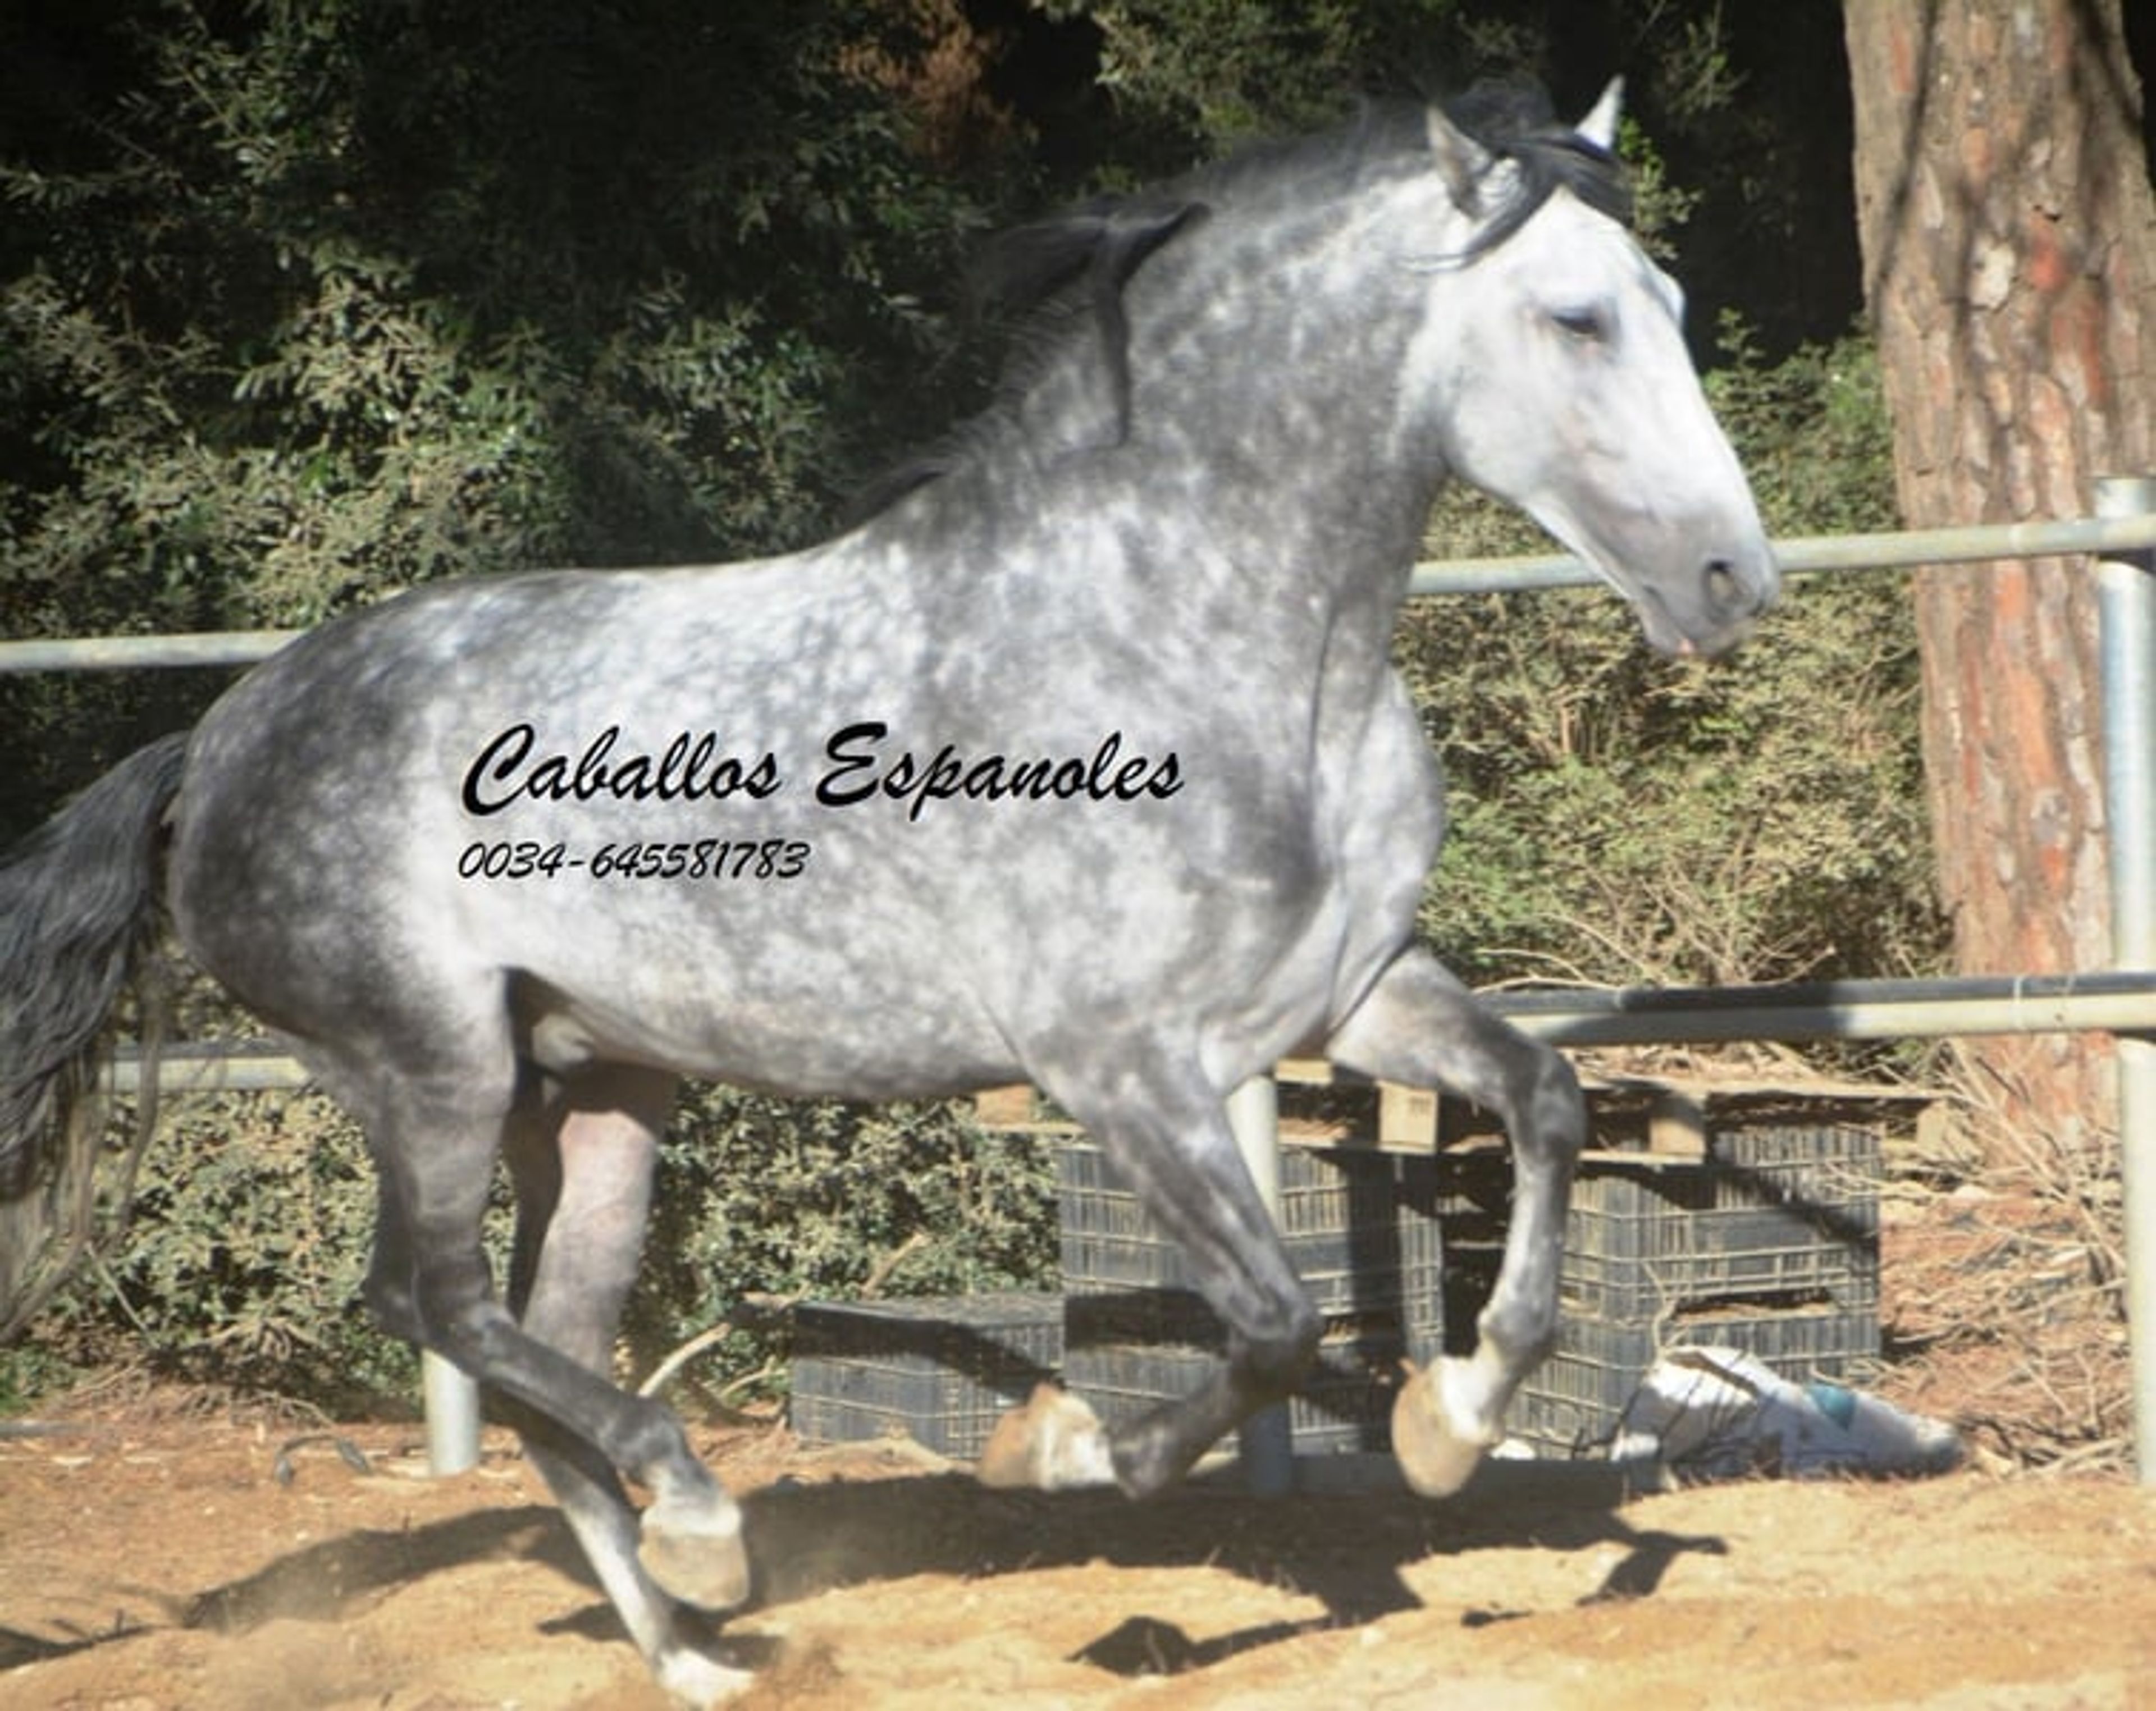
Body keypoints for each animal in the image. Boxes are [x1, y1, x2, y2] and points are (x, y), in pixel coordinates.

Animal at [0, 78, 1774, 1703]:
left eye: (1673, 304)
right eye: (1575, 318)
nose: (1732, 581)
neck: (1191, 636)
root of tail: (221, 735)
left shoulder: (1343, 995)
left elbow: (1544, 1101)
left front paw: (1450, 1423)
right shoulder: (1118, 1065)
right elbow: (1271, 1318)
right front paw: (1067, 1455)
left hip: (595, 1095)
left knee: (539, 1356)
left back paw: (699, 1638)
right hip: (427, 1066)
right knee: (425, 1299)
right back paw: (706, 1527)